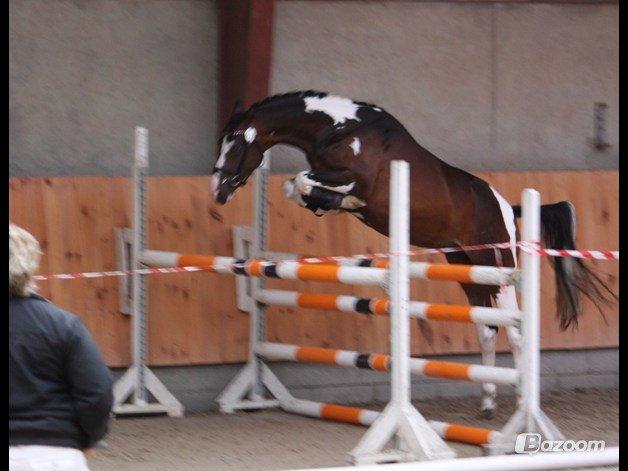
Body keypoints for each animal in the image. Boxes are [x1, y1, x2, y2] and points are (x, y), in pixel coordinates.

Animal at [213, 90, 616, 418]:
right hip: (466, 268)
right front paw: (322, 203)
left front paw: (332, 199)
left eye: (235, 142)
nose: (218, 191)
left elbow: (303, 180)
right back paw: (487, 403)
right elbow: (293, 186)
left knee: (514, 330)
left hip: (497, 265)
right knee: (487, 328)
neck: (342, 128)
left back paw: (520, 405)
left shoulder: (356, 178)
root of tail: (508, 206)